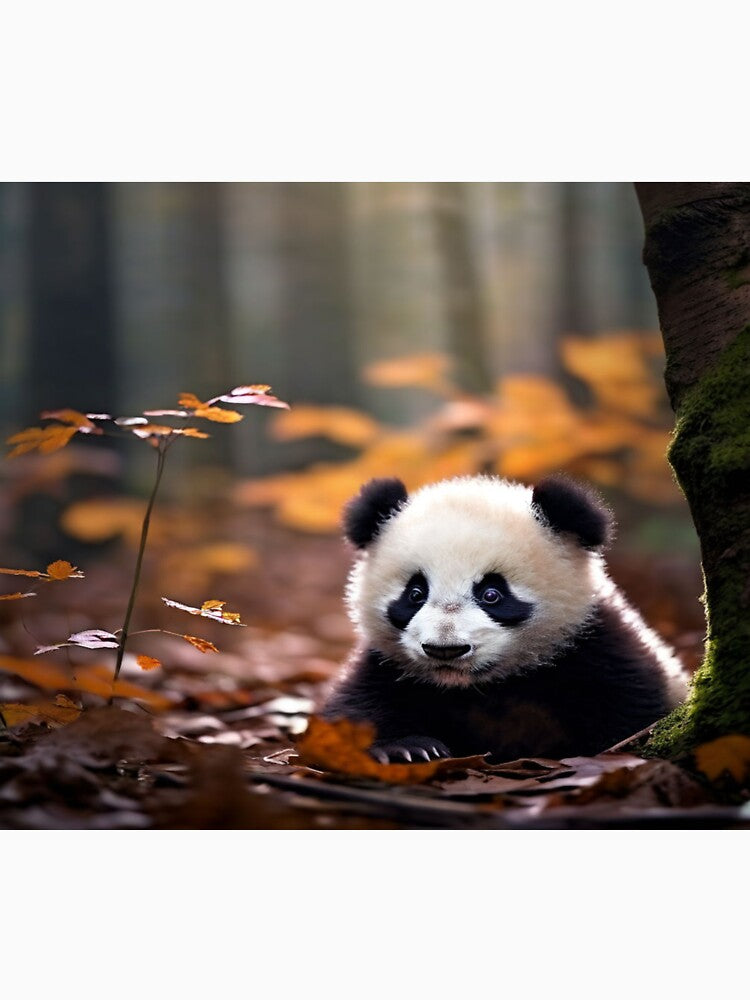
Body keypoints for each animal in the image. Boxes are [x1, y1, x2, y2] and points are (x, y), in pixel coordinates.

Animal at [322, 474, 688, 763]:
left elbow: (631, 705)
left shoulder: (592, 644)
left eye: (492, 594)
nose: (445, 649)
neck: (480, 687)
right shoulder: (386, 663)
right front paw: (407, 748)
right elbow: (355, 706)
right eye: (415, 594)